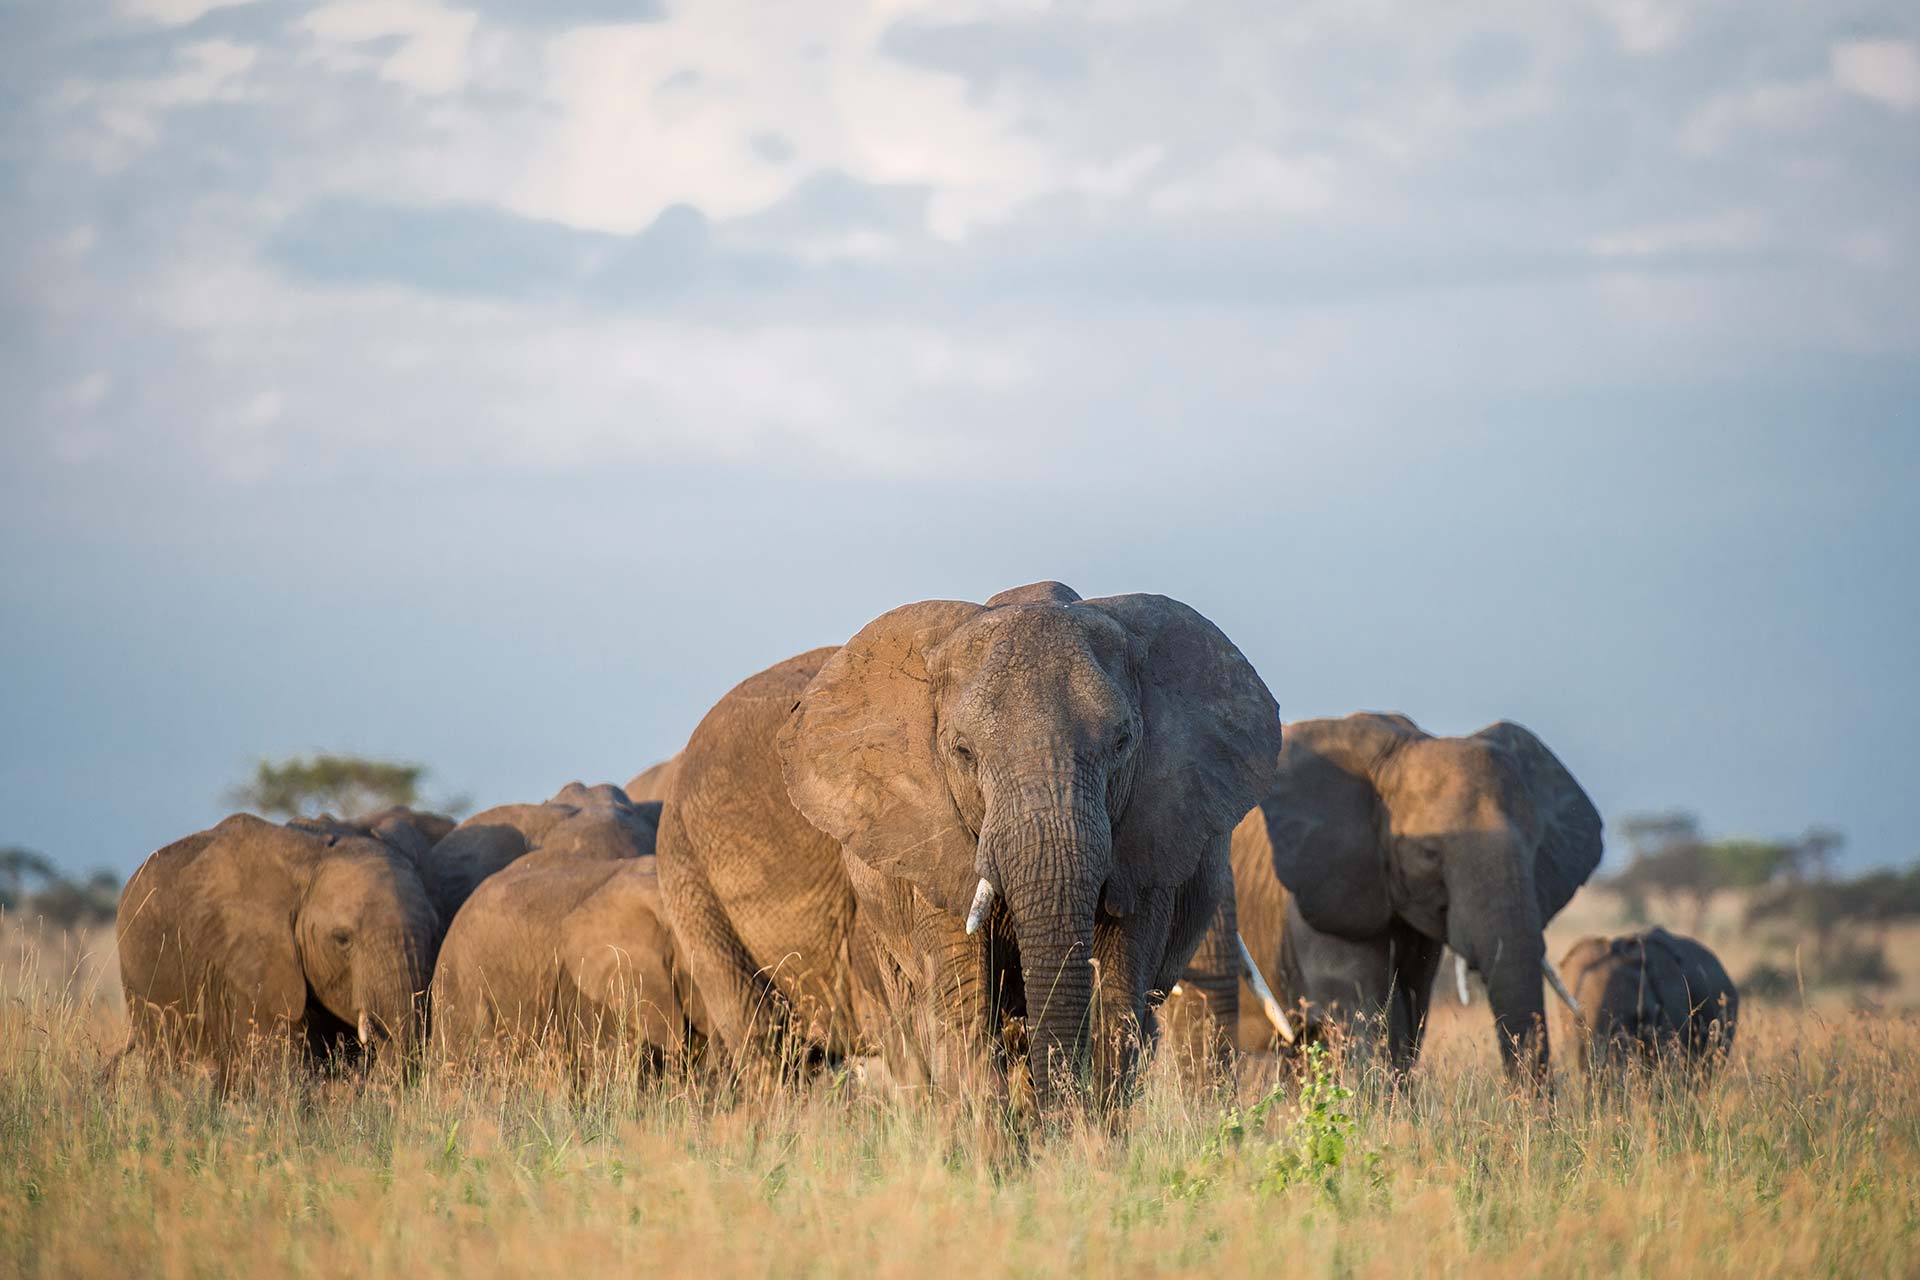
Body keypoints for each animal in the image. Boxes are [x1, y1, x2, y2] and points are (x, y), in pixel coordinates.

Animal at [652, 579, 1282, 1105]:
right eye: (962, 752)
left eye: (1123, 743)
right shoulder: (924, 846)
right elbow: (963, 1011)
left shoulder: (1148, 840)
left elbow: (1117, 1007)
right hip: (688, 873)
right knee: (764, 1041)